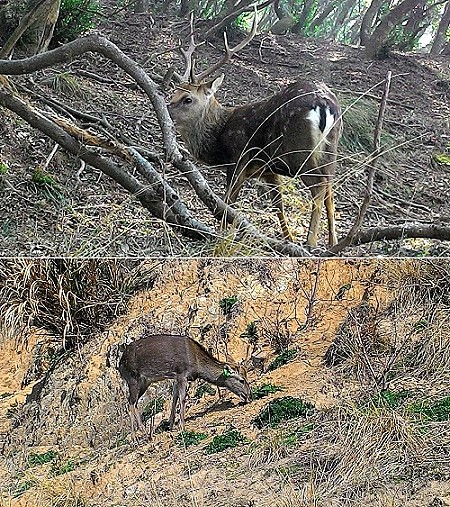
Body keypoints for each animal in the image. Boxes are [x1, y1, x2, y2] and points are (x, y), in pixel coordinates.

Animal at [118, 334, 251, 436]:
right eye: (241, 380)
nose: (248, 396)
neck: (197, 363)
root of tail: (119, 364)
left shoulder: (176, 377)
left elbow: (174, 397)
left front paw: (171, 424)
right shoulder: (182, 373)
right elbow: (182, 399)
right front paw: (182, 425)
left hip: (145, 382)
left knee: (132, 402)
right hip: (133, 379)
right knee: (131, 403)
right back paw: (139, 436)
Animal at [171, 13, 342, 248]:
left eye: (187, 99)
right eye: (174, 93)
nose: (166, 108)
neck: (219, 137)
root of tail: (324, 104)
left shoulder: (239, 160)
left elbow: (228, 201)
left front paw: (222, 236)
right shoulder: (268, 170)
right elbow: (278, 203)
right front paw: (288, 239)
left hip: (299, 153)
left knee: (319, 187)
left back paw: (311, 242)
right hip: (330, 151)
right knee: (330, 190)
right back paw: (334, 242)